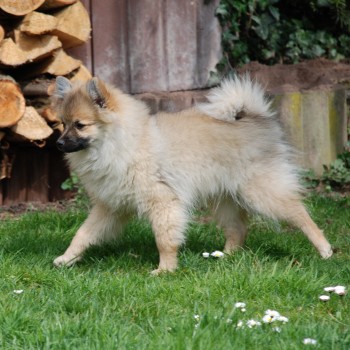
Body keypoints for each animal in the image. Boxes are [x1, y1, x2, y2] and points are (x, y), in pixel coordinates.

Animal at [53, 76, 332, 274]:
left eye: (80, 125)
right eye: (62, 124)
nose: (58, 143)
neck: (121, 143)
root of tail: (255, 118)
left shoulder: (163, 203)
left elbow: (164, 239)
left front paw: (165, 269)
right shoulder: (110, 207)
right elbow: (83, 233)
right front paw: (67, 258)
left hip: (261, 193)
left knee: (299, 214)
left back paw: (325, 250)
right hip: (223, 199)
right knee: (238, 228)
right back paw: (226, 256)